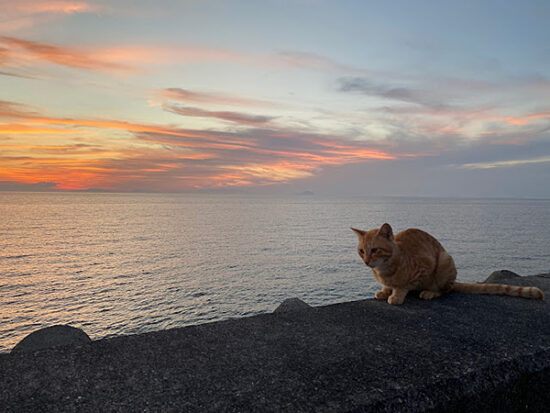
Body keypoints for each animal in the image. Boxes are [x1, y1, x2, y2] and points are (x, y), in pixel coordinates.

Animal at [352, 224, 544, 304]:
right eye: (361, 251)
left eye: (374, 250)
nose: (366, 261)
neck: (383, 269)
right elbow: (388, 286)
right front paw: (385, 291)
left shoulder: (425, 266)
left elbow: (403, 285)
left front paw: (396, 296)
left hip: (445, 261)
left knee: (445, 290)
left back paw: (430, 292)